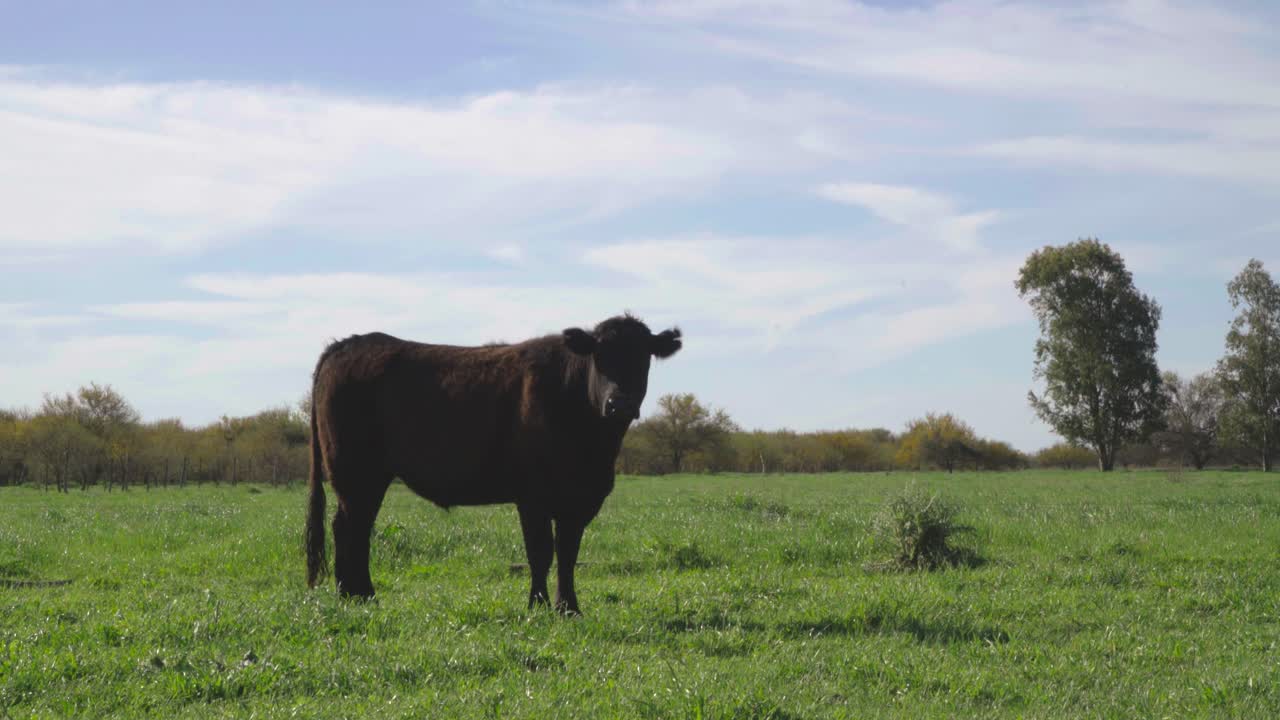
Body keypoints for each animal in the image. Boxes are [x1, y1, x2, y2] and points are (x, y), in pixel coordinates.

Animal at [304, 313, 682, 614]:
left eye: (643, 358)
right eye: (599, 357)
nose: (619, 403)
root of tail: (349, 343)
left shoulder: (580, 499)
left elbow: (568, 553)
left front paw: (569, 608)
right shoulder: (532, 496)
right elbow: (540, 552)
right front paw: (538, 605)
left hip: (367, 477)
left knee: (353, 527)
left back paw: (357, 595)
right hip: (353, 472)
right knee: (349, 527)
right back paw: (358, 595)